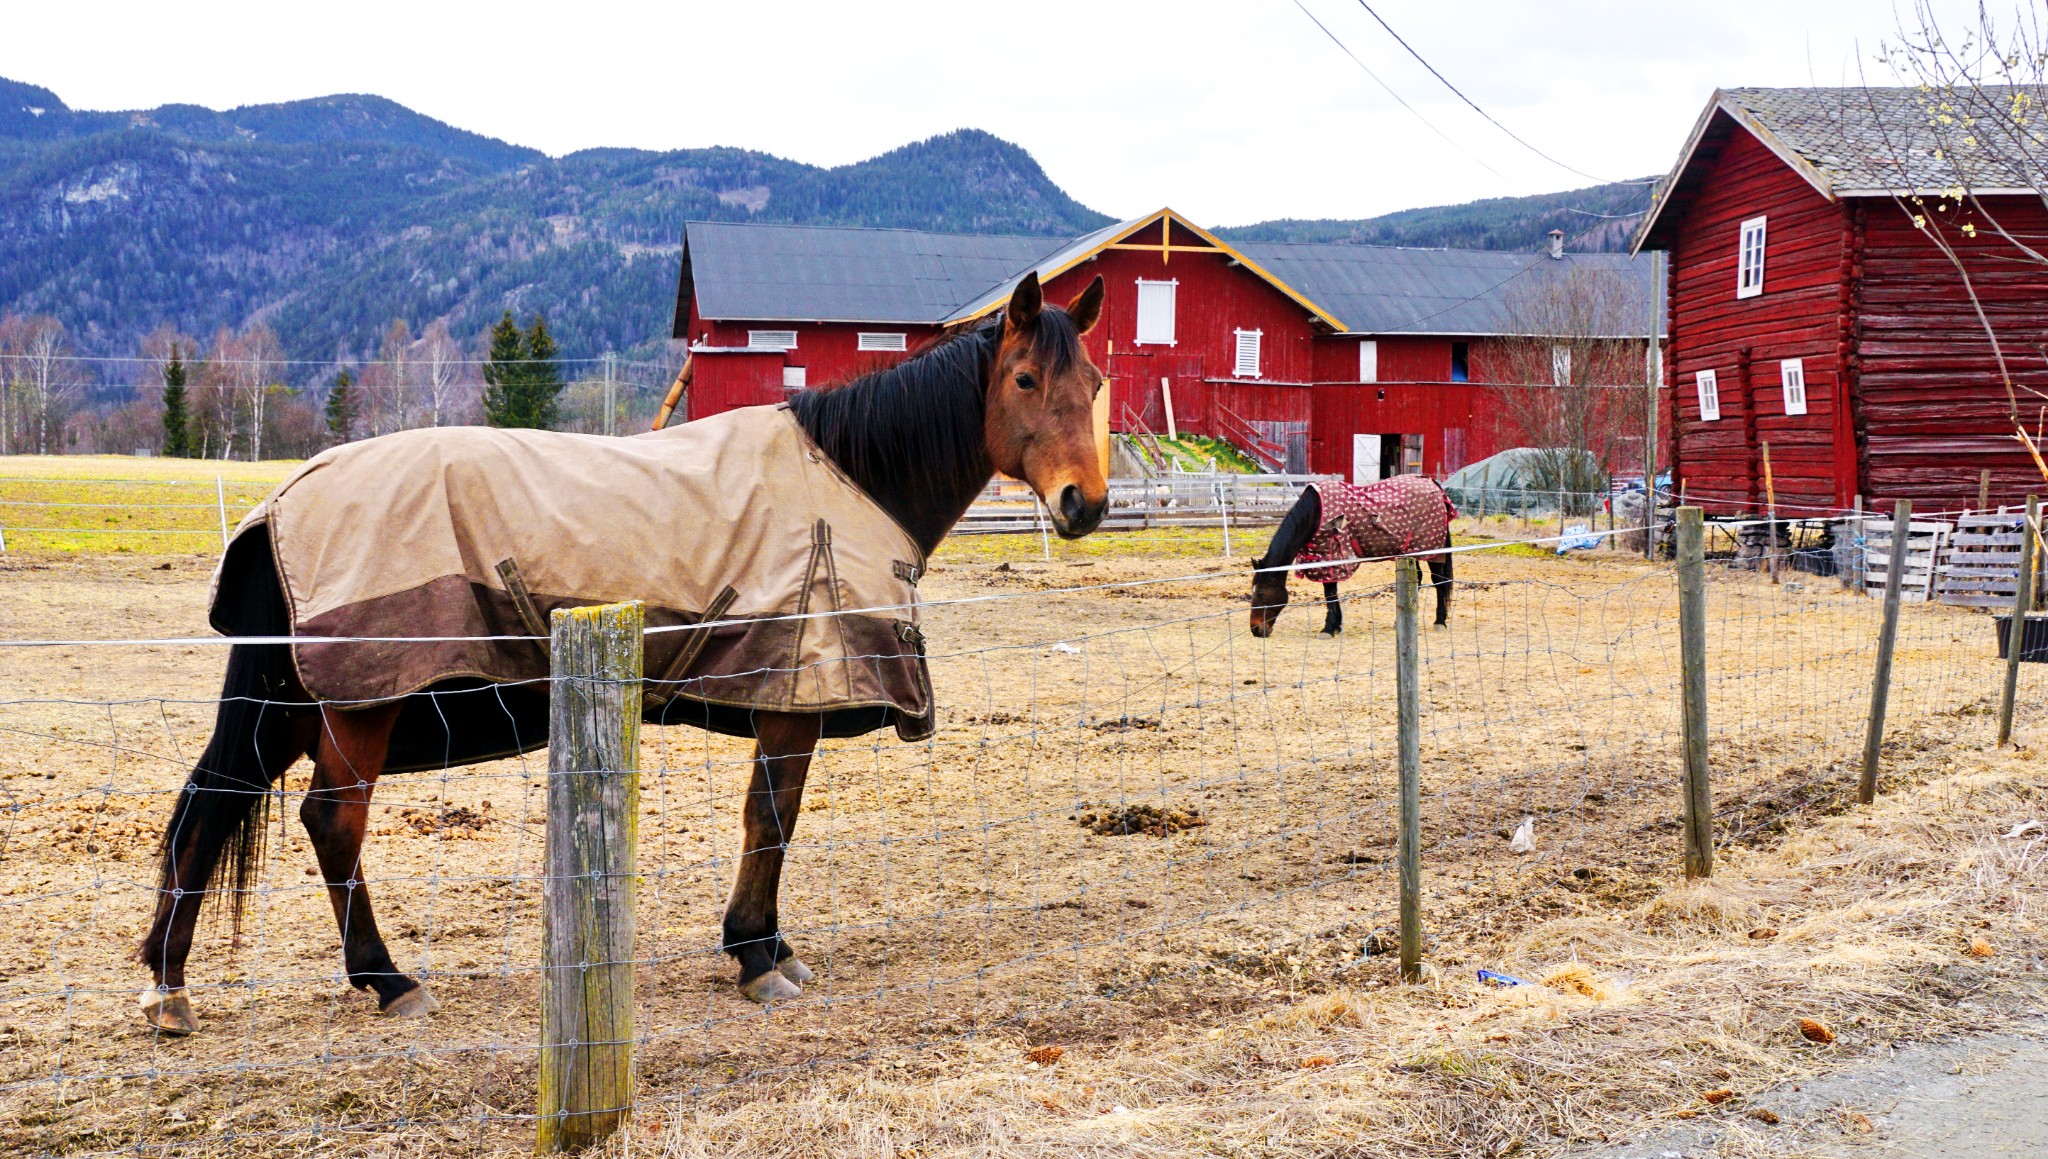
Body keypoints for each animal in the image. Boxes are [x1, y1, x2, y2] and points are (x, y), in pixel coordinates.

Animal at [138, 272, 1114, 1036]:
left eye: (1096, 380)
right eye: (1025, 377)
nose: (1086, 503)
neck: (851, 477)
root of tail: (282, 502)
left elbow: (774, 820)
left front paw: (769, 943)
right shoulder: (790, 699)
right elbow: (771, 818)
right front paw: (757, 953)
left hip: (291, 705)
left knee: (209, 806)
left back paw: (169, 982)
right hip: (357, 703)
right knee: (332, 821)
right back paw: (387, 978)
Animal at [1245, 479, 1458, 647]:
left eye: (1261, 593)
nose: (1255, 629)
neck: (1315, 514)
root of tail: (1434, 485)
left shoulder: (1330, 557)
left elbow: (1330, 593)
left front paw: (1328, 628)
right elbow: (1332, 594)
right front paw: (1336, 625)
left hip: (1431, 551)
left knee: (1439, 581)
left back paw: (1440, 621)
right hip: (1411, 552)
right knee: (1418, 579)